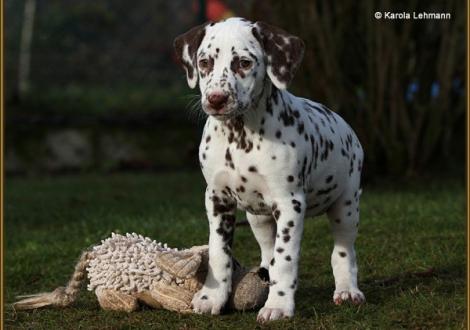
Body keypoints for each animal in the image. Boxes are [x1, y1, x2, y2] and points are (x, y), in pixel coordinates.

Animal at [174, 18, 366, 322]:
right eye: (204, 62)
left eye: (243, 63)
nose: (216, 99)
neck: (240, 136)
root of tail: (345, 125)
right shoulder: (217, 199)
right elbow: (218, 253)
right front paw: (211, 297)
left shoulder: (290, 204)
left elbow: (286, 260)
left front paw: (278, 305)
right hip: (258, 217)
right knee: (268, 250)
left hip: (346, 206)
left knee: (343, 251)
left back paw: (348, 290)